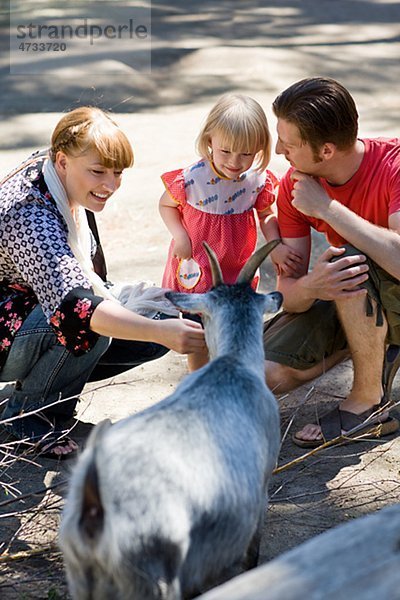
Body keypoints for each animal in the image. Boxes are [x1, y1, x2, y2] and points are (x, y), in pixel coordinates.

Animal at [60, 240, 282, 600]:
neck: (234, 362)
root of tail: (96, 508)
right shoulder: (261, 490)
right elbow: (253, 553)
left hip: (81, 574)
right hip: (152, 572)